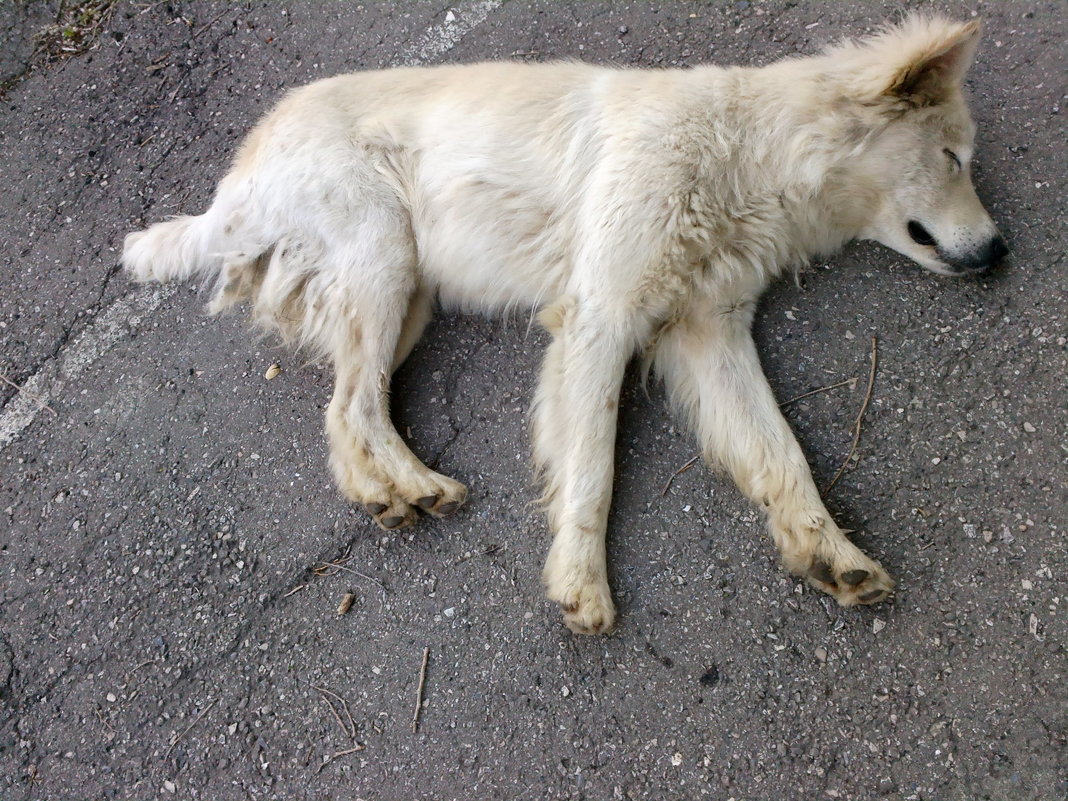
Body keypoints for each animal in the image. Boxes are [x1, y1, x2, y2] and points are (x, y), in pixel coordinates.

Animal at [122, 15, 999, 636]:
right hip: (385, 261)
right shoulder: (600, 320)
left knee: (344, 413)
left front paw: (831, 554)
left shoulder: (709, 333)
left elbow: (782, 455)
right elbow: (593, 468)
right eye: (953, 158)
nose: (1000, 250)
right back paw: (418, 485)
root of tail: (236, 176)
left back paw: (389, 492)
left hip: (406, 300)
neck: (744, 153)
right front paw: (581, 582)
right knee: (353, 406)